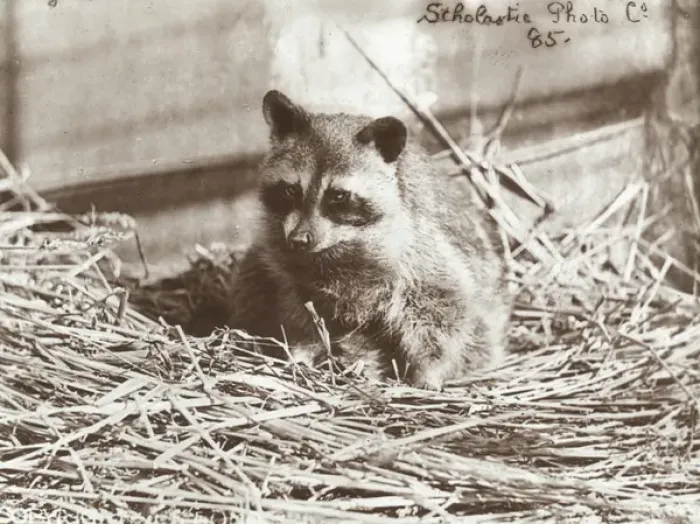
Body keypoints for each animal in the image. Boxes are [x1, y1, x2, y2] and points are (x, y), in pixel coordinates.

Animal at [227, 89, 511, 390]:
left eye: (338, 196)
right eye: (291, 190)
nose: (299, 239)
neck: (339, 245)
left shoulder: (424, 251)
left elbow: (444, 304)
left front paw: (430, 368)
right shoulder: (288, 267)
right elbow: (298, 307)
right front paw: (303, 347)